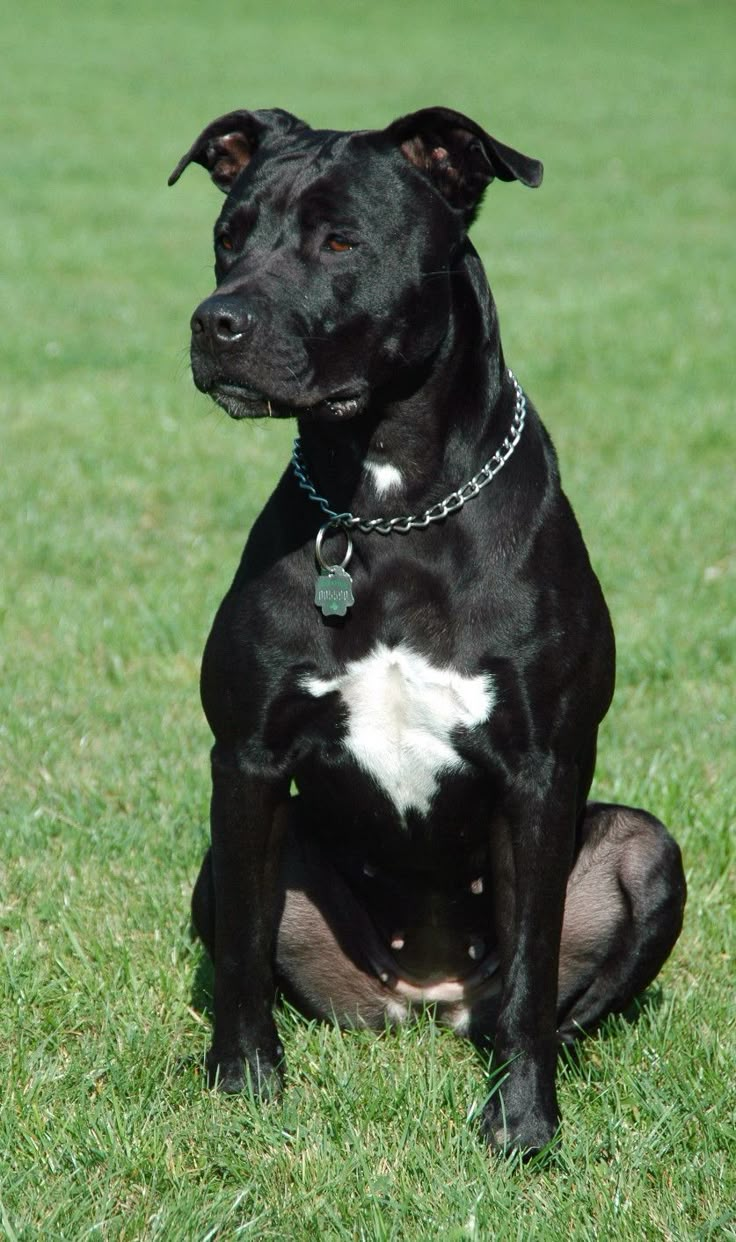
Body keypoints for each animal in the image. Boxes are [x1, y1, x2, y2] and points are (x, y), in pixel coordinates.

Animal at [168, 109, 685, 1152]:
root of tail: (431, 997)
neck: (386, 509)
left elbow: (531, 968)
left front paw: (522, 1125)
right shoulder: (244, 758)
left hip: (645, 850)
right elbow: (240, 952)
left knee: (547, 994)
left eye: (340, 242)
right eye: (229, 236)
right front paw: (243, 1088)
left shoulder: (541, 769)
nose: (215, 321)